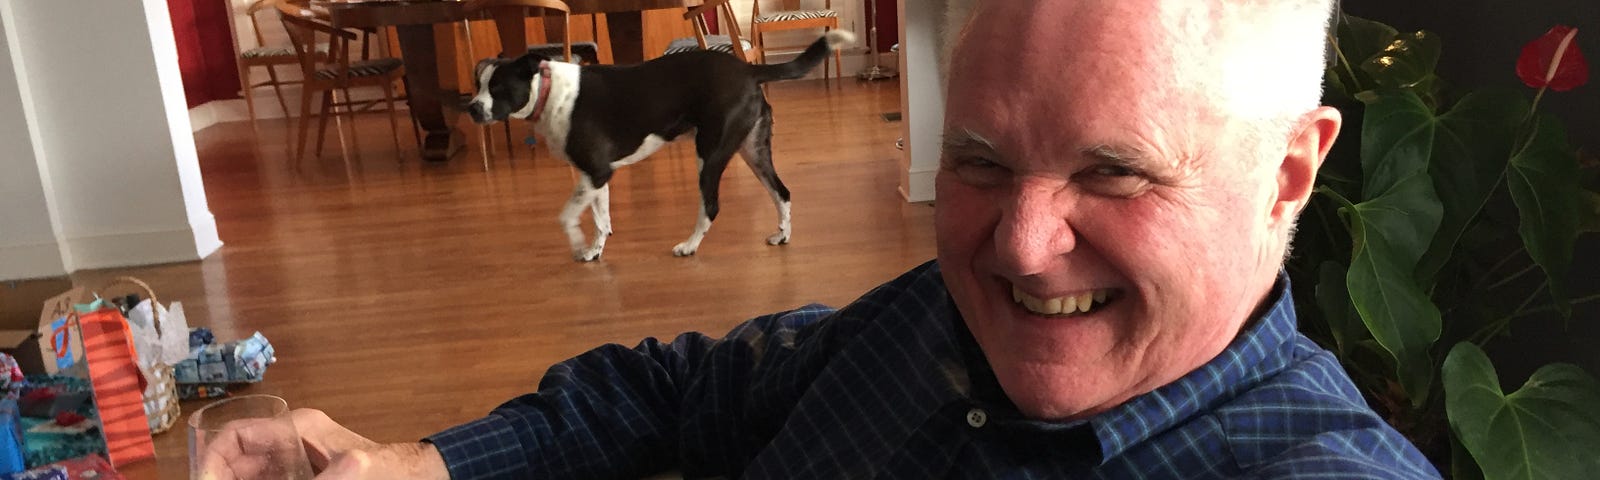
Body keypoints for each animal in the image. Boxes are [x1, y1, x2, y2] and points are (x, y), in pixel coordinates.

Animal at [467, 31, 857, 262]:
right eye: (478, 84)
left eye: (497, 88)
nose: (471, 108)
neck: (548, 91)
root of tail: (749, 71)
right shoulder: (596, 176)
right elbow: (601, 218)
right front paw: (594, 249)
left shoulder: (596, 171)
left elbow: (566, 216)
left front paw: (578, 245)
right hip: (754, 151)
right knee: (782, 192)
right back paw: (783, 235)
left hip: (710, 155)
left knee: (711, 206)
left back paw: (689, 245)